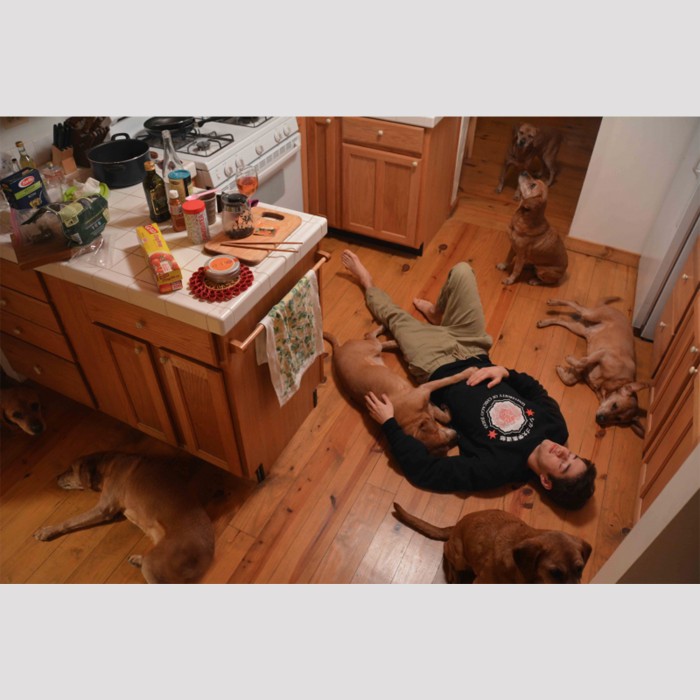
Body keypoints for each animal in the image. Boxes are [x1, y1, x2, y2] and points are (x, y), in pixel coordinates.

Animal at [33, 452, 213, 584]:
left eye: (71, 469)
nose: (56, 477)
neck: (106, 467)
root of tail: (207, 554)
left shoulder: (103, 509)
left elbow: (70, 520)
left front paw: (46, 531)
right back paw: (137, 559)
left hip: (154, 563)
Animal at [322, 326, 476, 456]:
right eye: (444, 442)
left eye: (440, 432)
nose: (458, 437)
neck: (413, 419)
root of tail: (337, 351)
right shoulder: (426, 395)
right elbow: (447, 391)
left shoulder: (426, 395)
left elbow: (448, 381)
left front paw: (470, 372)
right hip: (372, 348)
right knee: (373, 338)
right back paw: (392, 340)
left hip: (373, 348)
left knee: (372, 337)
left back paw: (391, 337)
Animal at [394, 500, 592, 584]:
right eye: (555, 572)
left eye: (580, 568)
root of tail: (455, 525)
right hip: (460, 558)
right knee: (446, 551)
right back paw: (453, 576)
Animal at [536, 296, 652, 438]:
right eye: (614, 406)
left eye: (618, 419)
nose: (600, 419)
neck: (613, 382)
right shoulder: (603, 354)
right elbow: (582, 361)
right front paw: (569, 359)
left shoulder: (585, 371)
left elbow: (570, 379)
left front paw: (562, 370)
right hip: (590, 315)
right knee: (575, 304)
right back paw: (553, 302)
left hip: (580, 329)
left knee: (562, 320)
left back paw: (544, 322)